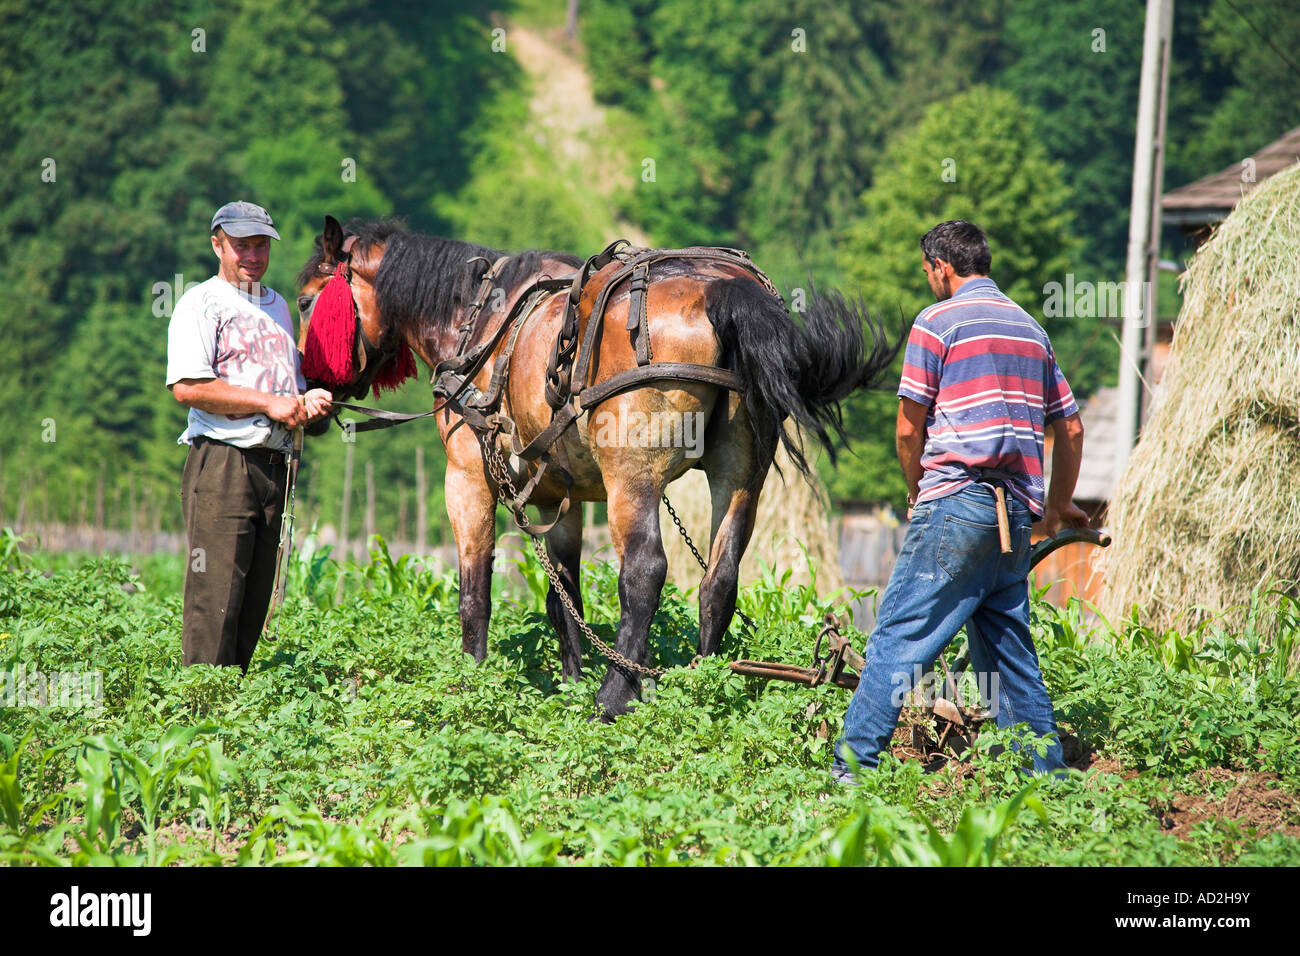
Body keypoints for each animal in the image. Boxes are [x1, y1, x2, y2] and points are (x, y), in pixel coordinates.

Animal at [297, 217, 899, 717]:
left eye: (305, 302)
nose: (310, 389)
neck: (479, 324)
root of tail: (722, 289)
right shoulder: (556, 498)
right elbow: (563, 597)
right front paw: (569, 681)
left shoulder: (466, 479)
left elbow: (475, 593)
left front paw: (472, 681)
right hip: (739, 478)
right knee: (719, 579)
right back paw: (702, 681)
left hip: (632, 480)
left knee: (645, 571)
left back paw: (615, 695)